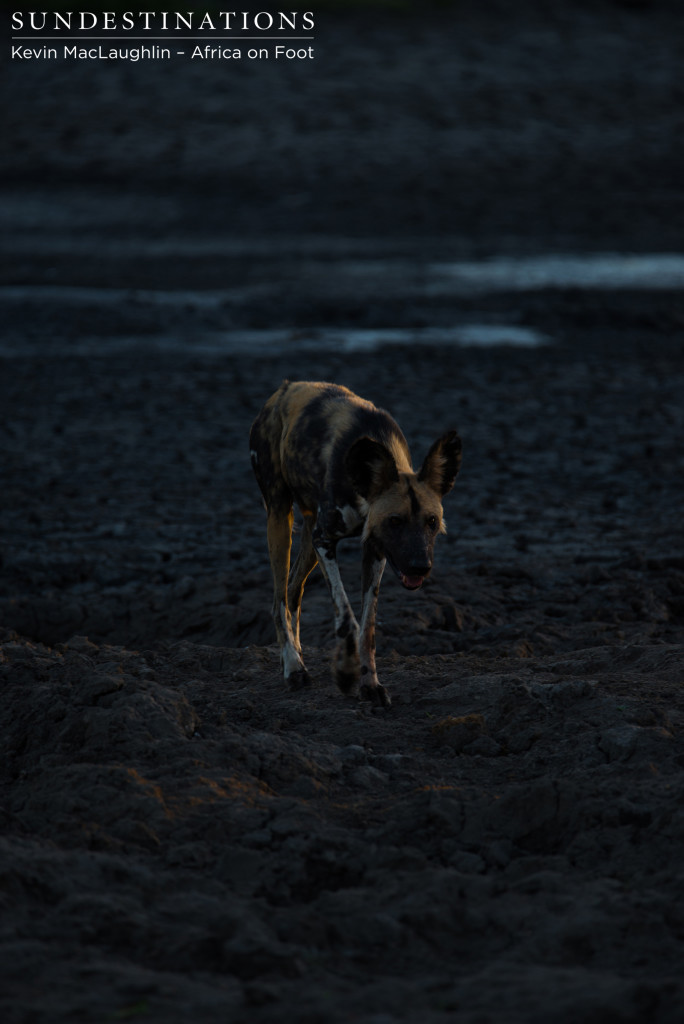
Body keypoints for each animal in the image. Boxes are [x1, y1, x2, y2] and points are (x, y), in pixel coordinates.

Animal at [248, 380, 462, 708]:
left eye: (432, 522)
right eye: (395, 521)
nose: (420, 567)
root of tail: (283, 389)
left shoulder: (374, 551)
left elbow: (368, 628)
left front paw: (371, 685)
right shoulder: (325, 541)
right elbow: (348, 618)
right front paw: (346, 675)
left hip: (308, 534)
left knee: (293, 590)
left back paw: (296, 657)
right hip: (280, 519)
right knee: (278, 600)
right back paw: (293, 668)